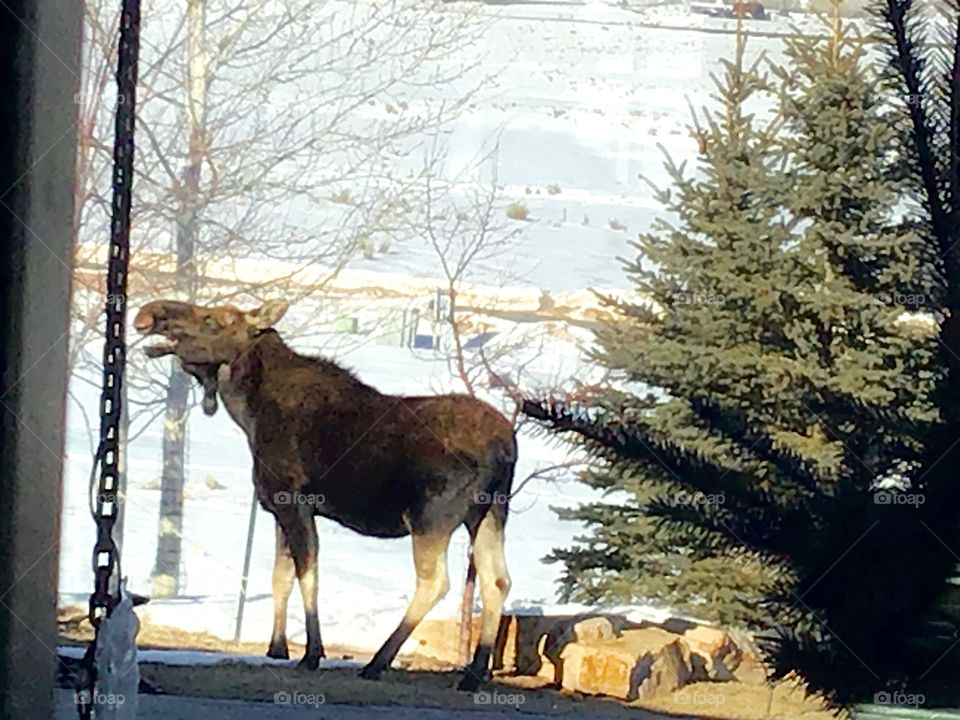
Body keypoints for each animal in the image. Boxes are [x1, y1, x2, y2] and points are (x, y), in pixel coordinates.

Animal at [133, 299, 515, 691]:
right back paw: (473, 673)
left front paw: (313, 653)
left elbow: (308, 575)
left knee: (436, 582)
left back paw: (379, 661)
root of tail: (505, 448)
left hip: (431, 518)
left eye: (212, 320)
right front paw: (277, 648)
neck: (248, 413)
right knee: (497, 581)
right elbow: (280, 578)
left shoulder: (293, 502)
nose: (151, 314)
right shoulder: (278, 510)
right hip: (489, 513)